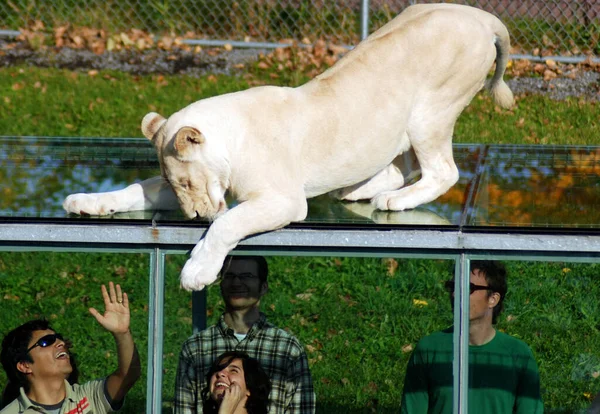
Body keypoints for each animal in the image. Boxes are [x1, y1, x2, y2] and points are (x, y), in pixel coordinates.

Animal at [63, 4, 512, 292]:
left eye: (188, 182)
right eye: (178, 186)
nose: (192, 218)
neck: (231, 139)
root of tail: (482, 15)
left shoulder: (283, 200)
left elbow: (226, 224)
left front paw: (197, 271)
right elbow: (135, 189)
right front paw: (85, 201)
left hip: (431, 112)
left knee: (442, 171)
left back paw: (392, 200)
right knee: (400, 166)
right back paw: (356, 190)